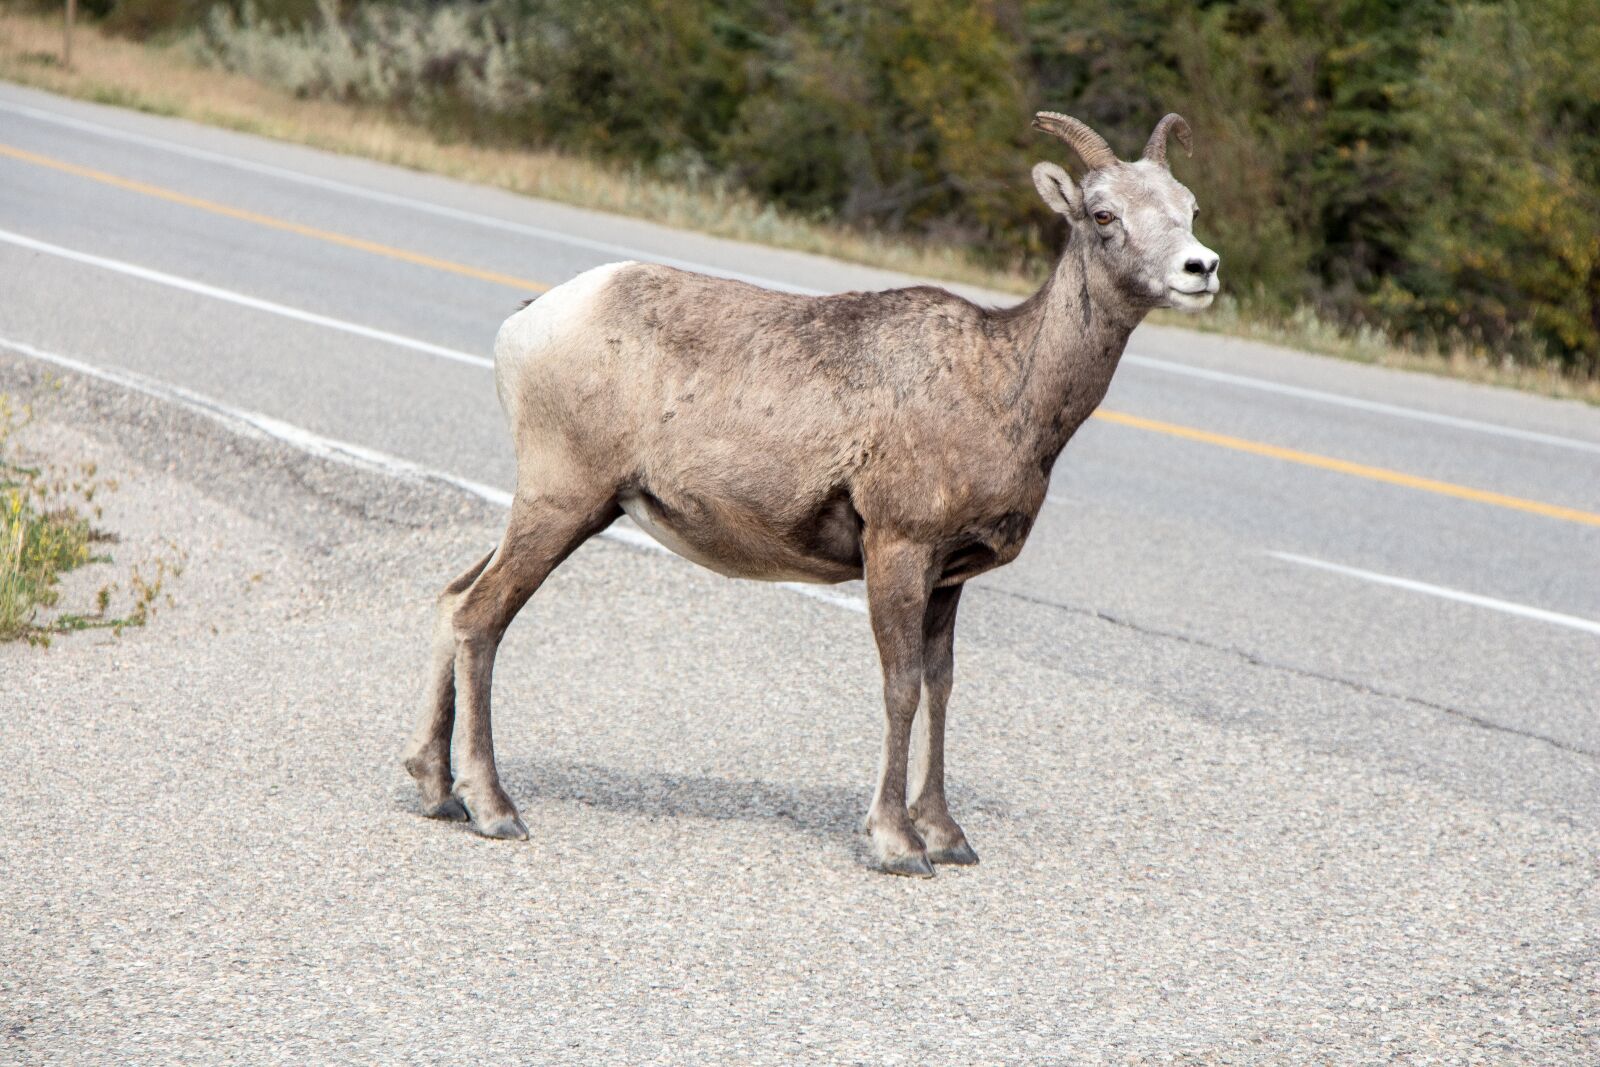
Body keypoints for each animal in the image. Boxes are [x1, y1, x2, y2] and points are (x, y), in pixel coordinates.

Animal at [403, 112, 1219, 877]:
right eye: (1103, 214)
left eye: (1189, 207)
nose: (1201, 268)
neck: (1004, 387)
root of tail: (526, 322)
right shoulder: (897, 551)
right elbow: (902, 689)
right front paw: (898, 845)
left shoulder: (950, 579)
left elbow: (943, 689)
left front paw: (948, 836)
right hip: (563, 501)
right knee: (480, 617)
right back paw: (495, 808)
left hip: (562, 507)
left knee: (451, 597)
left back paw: (437, 790)